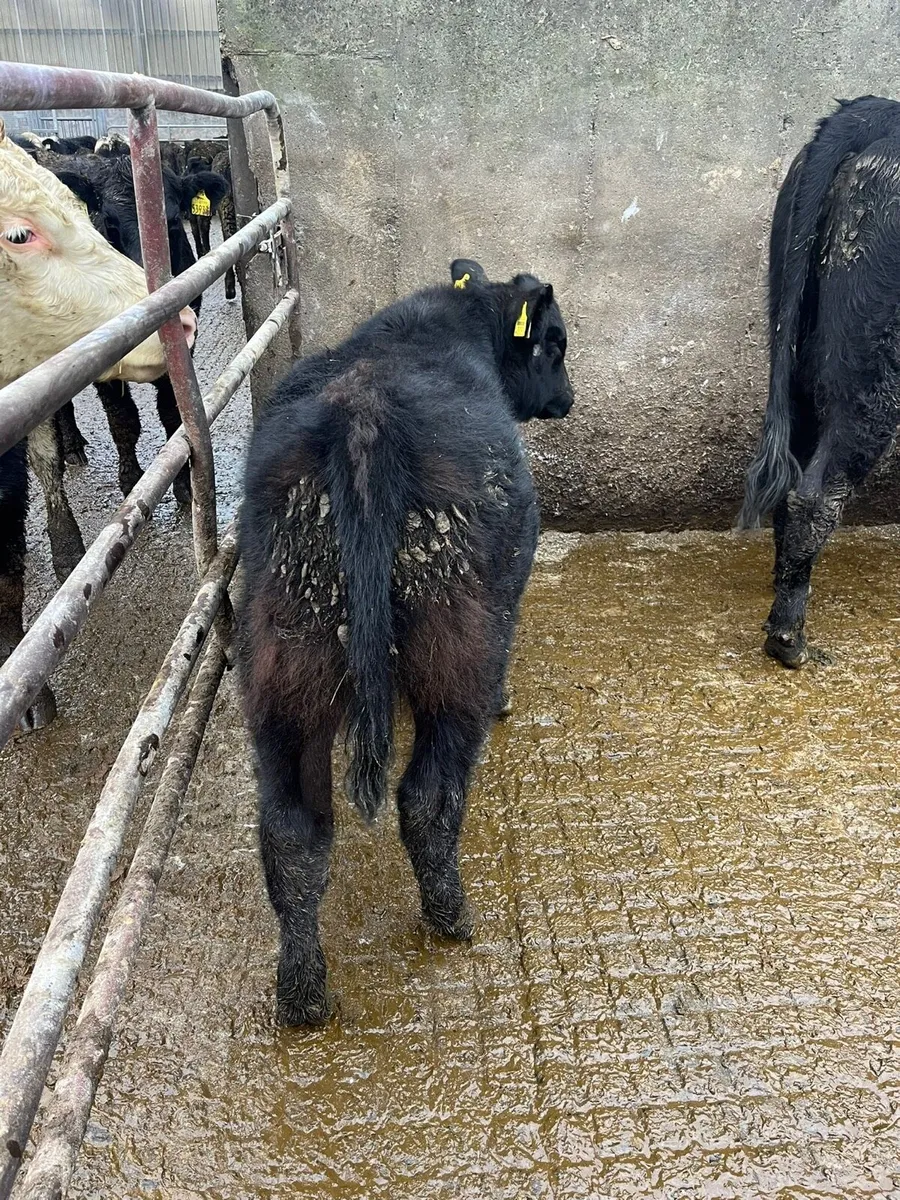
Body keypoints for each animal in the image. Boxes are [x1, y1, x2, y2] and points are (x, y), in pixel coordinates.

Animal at [237, 257, 574, 1024]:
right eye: (554, 344)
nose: (568, 400)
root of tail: (362, 421)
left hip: (283, 666)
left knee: (293, 831)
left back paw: (303, 995)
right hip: (458, 655)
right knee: (426, 796)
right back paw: (451, 918)